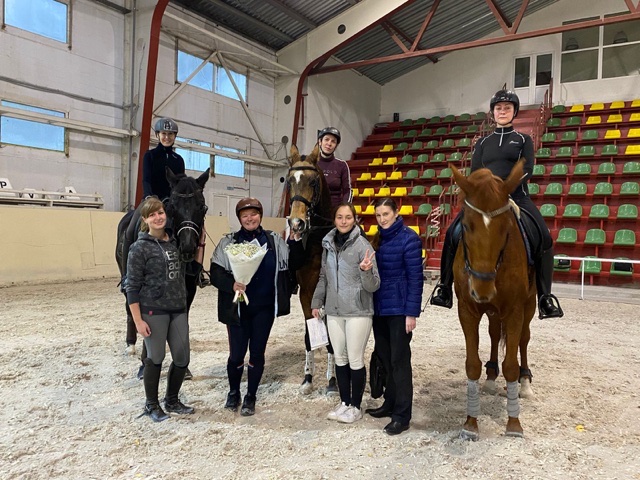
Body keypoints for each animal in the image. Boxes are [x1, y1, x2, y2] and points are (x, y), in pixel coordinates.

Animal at [450, 160, 536, 440]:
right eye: (467, 226)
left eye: (506, 228)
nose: (482, 290)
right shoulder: (467, 310)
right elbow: (471, 365)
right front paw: (470, 423)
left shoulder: (515, 310)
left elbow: (511, 365)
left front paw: (514, 424)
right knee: (493, 333)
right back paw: (489, 377)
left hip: (529, 305)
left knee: (523, 339)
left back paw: (525, 383)